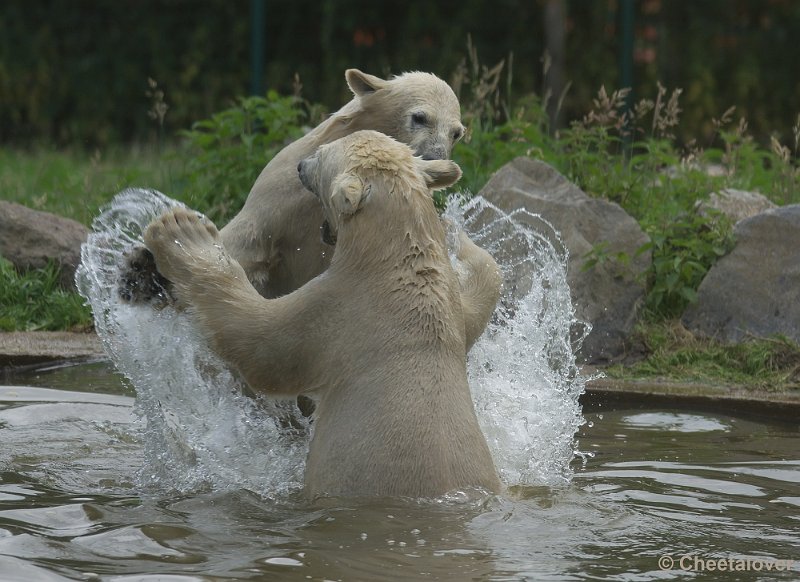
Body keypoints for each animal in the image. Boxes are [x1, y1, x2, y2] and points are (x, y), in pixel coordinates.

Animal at [141, 130, 496, 500]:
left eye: (322, 156)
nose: (299, 165)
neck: (394, 259)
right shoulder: (454, 310)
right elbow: (487, 281)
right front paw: (459, 234)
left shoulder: (339, 312)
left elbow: (260, 344)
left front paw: (180, 231)